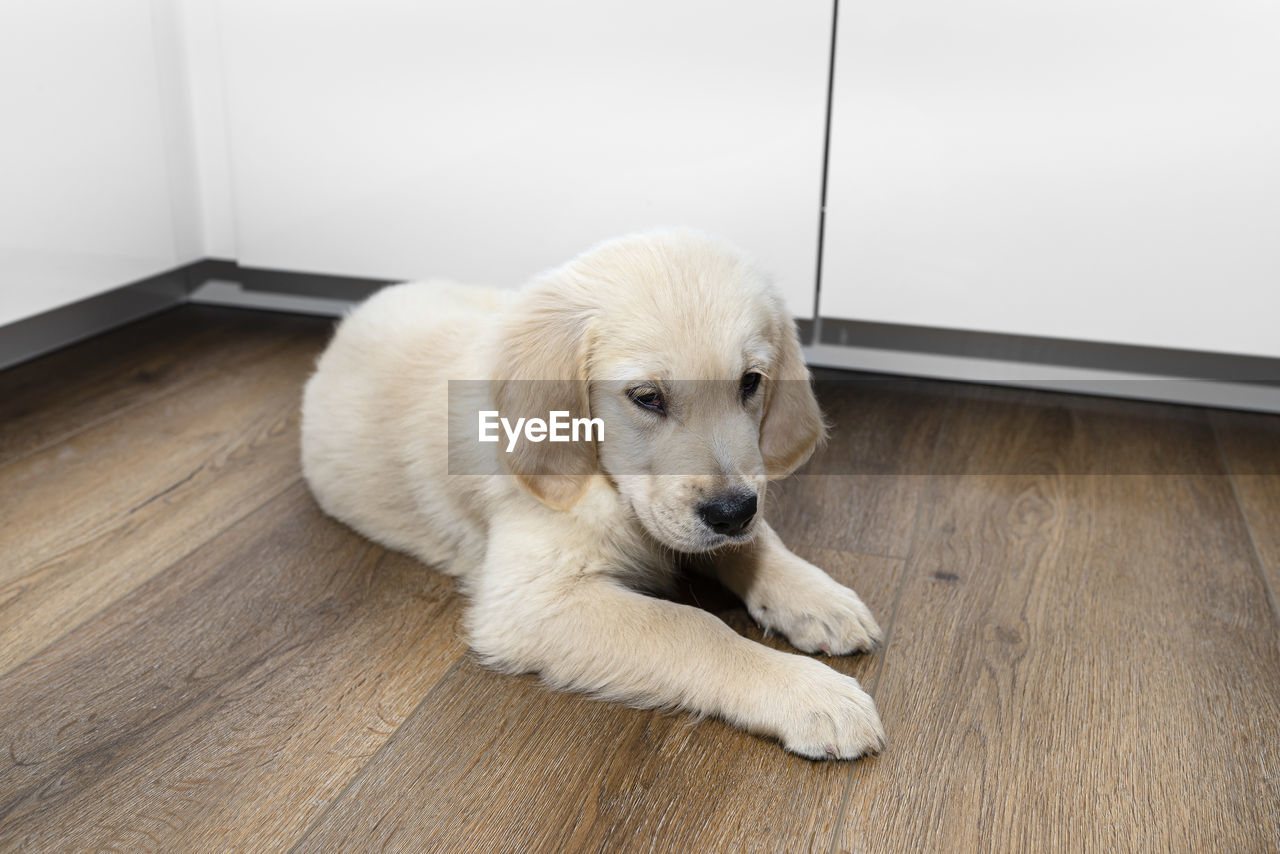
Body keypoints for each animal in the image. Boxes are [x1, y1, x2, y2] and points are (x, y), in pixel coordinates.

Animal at [300, 230, 885, 757]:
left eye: (750, 382)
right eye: (646, 397)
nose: (731, 512)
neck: (607, 484)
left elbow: (759, 542)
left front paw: (816, 598)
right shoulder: (529, 601)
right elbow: (692, 627)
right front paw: (808, 692)